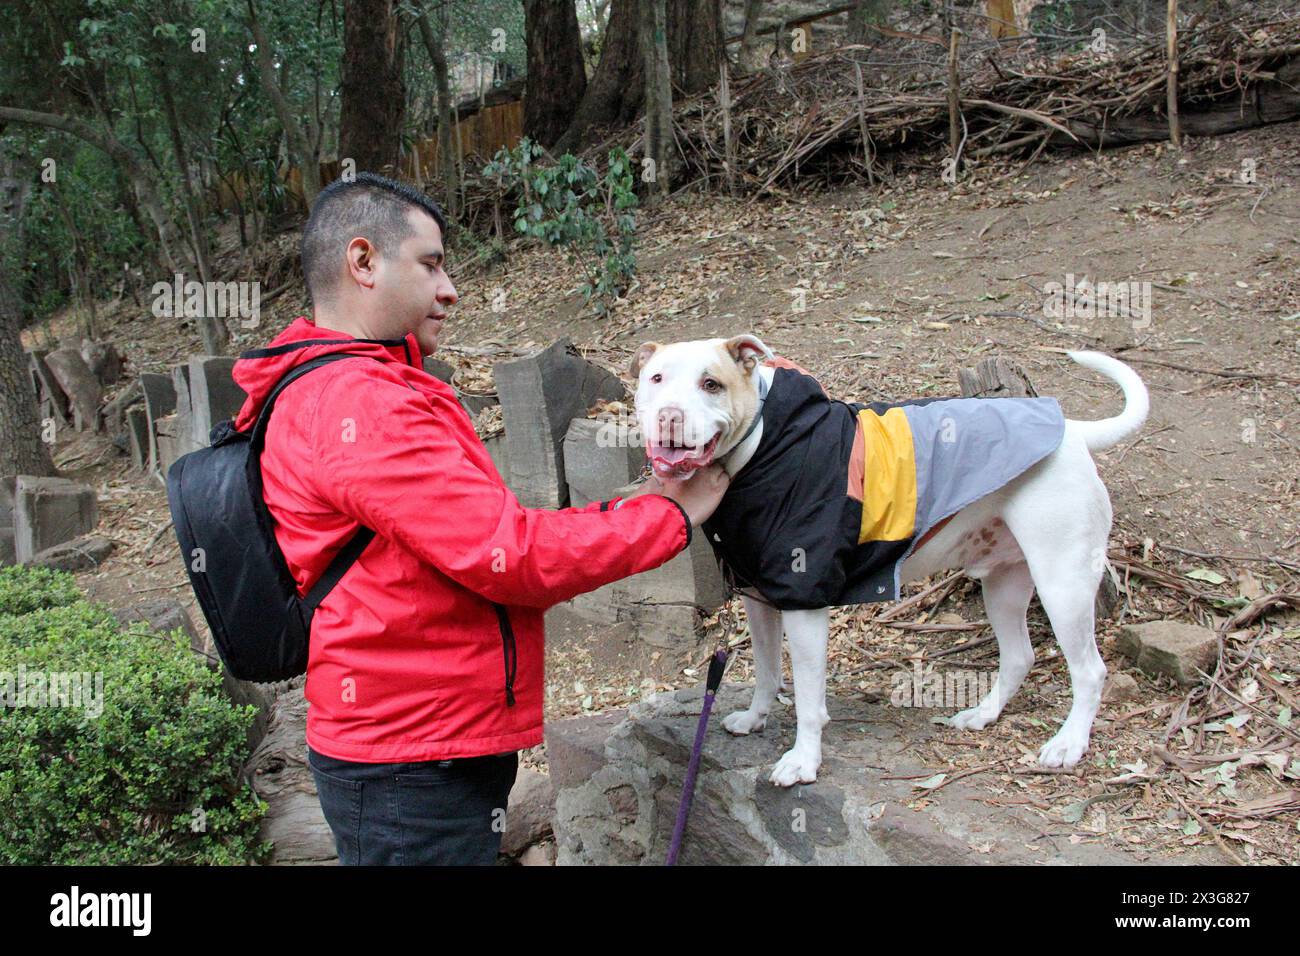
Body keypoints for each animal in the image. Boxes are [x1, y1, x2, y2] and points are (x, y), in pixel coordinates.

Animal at [629, 335, 1149, 785]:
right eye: (656, 379)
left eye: (711, 384)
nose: (670, 418)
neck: (763, 445)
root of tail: (1070, 431)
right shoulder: (759, 598)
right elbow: (767, 669)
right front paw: (756, 717)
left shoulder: (804, 603)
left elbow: (808, 699)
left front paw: (803, 760)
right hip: (1004, 582)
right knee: (1019, 655)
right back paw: (984, 713)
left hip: (1063, 584)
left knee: (1089, 670)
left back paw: (1068, 743)